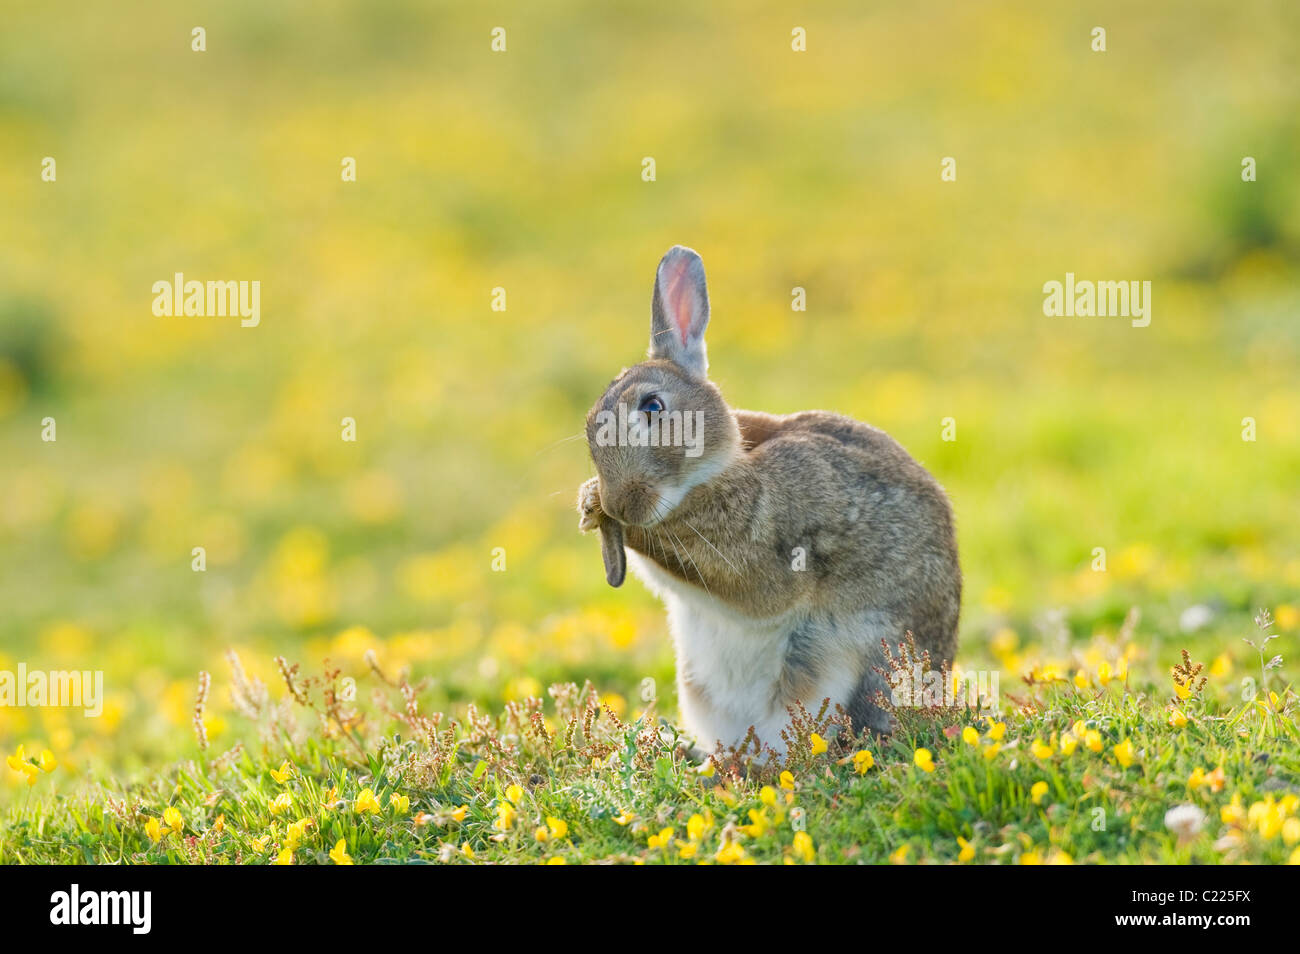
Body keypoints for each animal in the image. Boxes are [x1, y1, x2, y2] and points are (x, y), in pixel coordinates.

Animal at [574, 248, 961, 764]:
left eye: (653, 407)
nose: (620, 503)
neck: (714, 470)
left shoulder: (772, 553)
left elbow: (750, 588)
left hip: (840, 669)